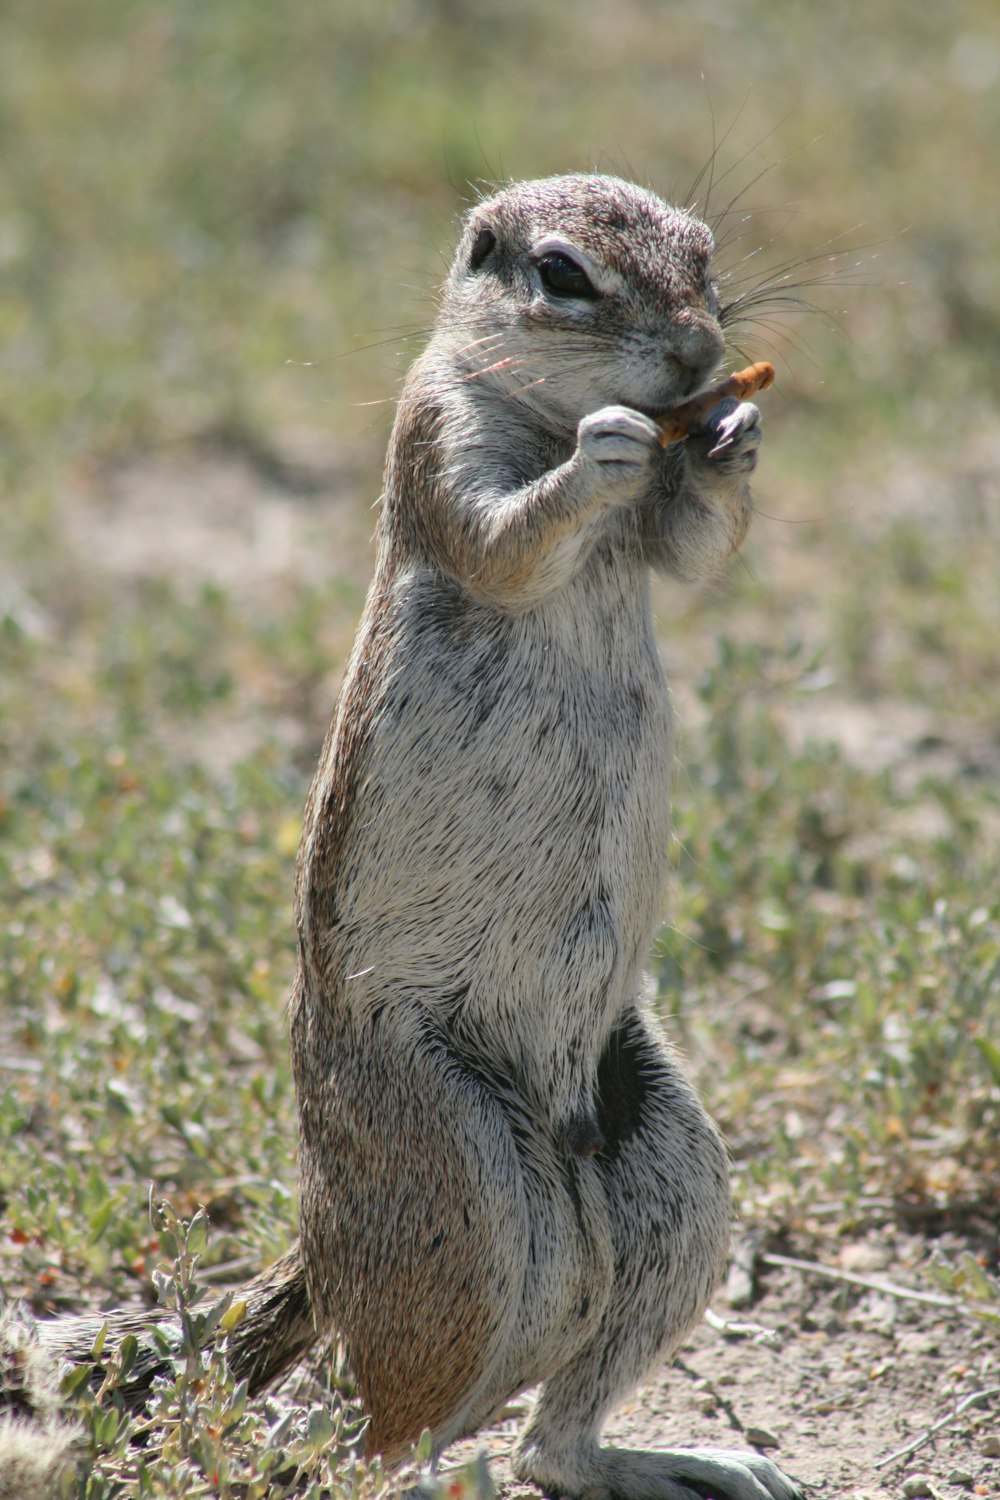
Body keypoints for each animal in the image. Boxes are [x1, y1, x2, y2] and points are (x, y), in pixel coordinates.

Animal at [3, 172, 803, 1500]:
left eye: (703, 256)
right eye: (562, 274)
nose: (699, 355)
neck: (543, 408)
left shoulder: (658, 521)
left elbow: (696, 547)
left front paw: (735, 436)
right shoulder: (435, 447)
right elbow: (504, 539)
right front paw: (603, 453)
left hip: (667, 1168)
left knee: (548, 1439)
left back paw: (670, 1459)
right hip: (454, 1181)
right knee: (380, 1427)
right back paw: (423, 1470)